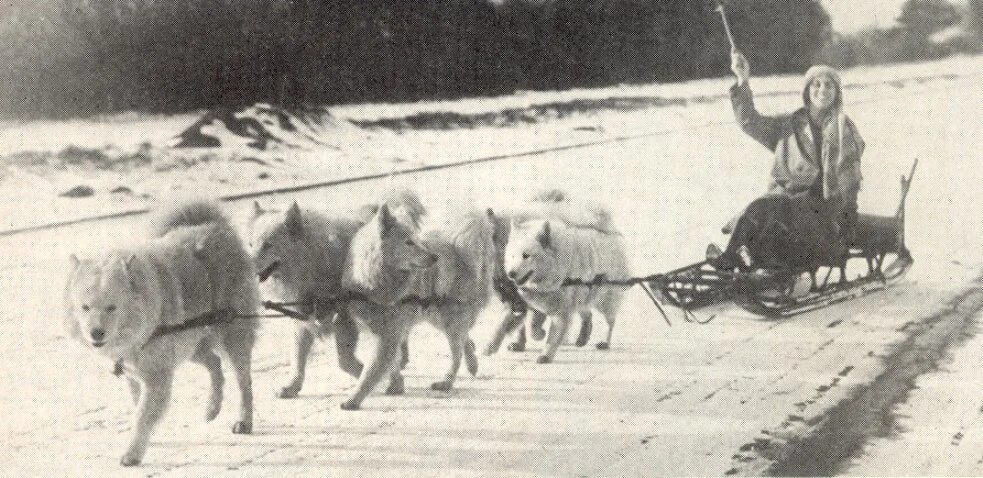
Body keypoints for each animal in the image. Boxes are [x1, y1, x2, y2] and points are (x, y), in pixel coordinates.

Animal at [62, 199, 258, 466]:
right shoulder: (135, 375)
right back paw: (212, 409)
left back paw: (244, 421)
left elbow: (142, 415)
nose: (96, 333)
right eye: (85, 307)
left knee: (243, 382)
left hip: (232, 337)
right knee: (215, 364)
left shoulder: (157, 377)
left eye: (112, 307)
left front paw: (133, 453)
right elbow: (138, 409)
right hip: (191, 344)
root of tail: (213, 226)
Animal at [248, 189, 424, 398]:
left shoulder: (345, 318)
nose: (245, 267)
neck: (313, 259)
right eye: (250, 245)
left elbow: (346, 362)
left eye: (268, 245)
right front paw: (292, 385)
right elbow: (298, 356)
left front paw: (383, 379)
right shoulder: (305, 318)